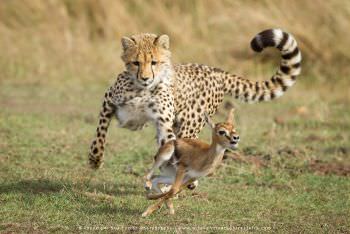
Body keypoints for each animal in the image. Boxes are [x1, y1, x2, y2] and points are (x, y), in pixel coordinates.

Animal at [88, 28, 300, 170]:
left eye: (154, 62)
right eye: (136, 63)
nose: (146, 78)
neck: (142, 89)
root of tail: (216, 70)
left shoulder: (163, 123)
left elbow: (170, 145)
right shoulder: (109, 101)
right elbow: (100, 132)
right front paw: (95, 159)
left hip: (190, 124)